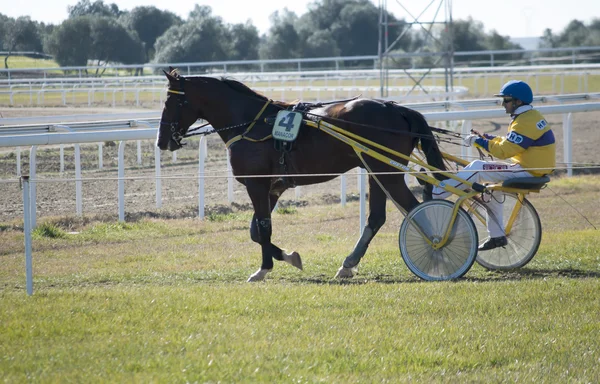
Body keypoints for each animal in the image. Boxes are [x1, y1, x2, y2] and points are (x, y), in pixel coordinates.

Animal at [155, 67, 446, 280]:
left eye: (170, 100)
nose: (161, 141)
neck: (252, 124)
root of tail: (396, 108)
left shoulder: (256, 184)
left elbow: (263, 227)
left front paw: (263, 269)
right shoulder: (273, 187)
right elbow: (255, 231)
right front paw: (289, 257)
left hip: (387, 172)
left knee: (413, 209)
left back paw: (437, 251)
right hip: (376, 171)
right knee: (377, 218)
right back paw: (348, 264)